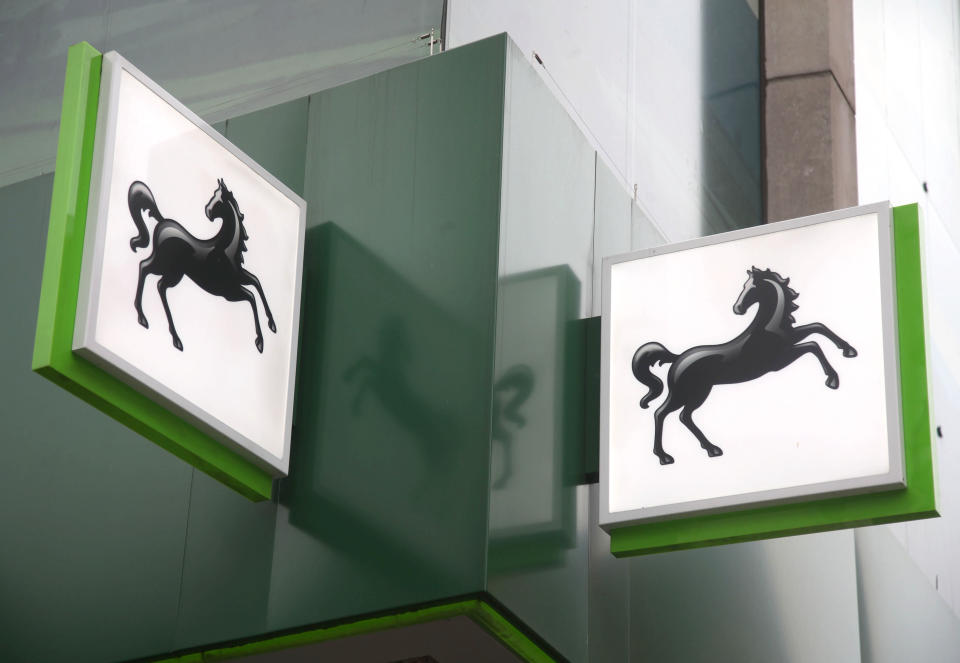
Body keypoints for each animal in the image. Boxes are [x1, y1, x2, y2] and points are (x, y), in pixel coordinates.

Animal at [125, 176, 272, 352]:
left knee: (152, 277)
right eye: (214, 196)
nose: (207, 211)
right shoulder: (229, 291)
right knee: (148, 272)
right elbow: (252, 297)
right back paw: (168, 334)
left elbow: (256, 282)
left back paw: (148, 319)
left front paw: (272, 325)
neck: (226, 248)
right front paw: (260, 341)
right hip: (168, 268)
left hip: (171, 270)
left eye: (218, 199)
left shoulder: (239, 277)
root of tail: (162, 221)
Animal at [632, 266, 860, 466]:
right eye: (745, 286)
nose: (737, 308)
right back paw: (666, 457)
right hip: (688, 393)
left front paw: (848, 350)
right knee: (662, 413)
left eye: (751, 287)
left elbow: (818, 327)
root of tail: (677, 358)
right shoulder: (781, 360)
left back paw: (710, 449)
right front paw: (832, 379)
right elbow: (813, 345)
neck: (767, 327)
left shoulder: (791, 339)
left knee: (683, 417)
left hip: (695, 393)